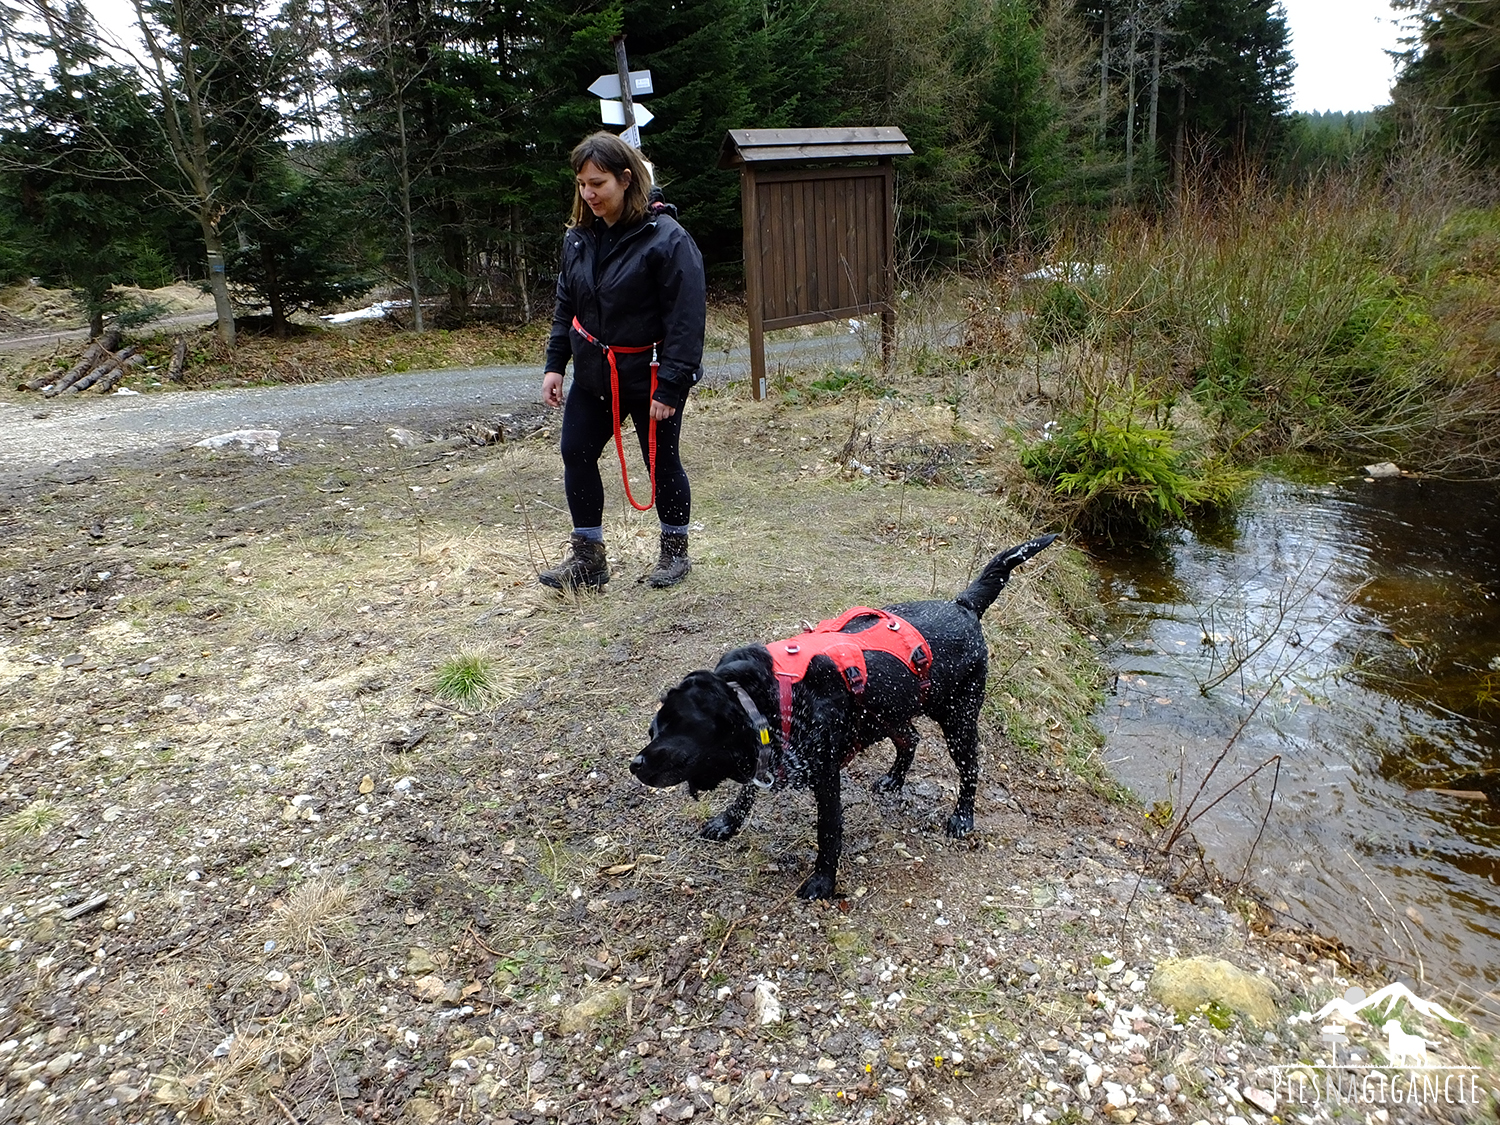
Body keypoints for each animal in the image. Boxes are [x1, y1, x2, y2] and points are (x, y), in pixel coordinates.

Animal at [630, 534, 1056, 900]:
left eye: (678, 725)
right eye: (653, 729)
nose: (635, 763)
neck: (770, 698)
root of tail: (963, 605)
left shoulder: (824, 772)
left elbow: (828, 831)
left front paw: (823, 880)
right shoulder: (770, 754)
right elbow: (748, 790)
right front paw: (729, 821)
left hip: (958, 719)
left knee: (969, 770)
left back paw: (963, 816)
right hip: (889, 712)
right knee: (911, 738)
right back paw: (894, 779)